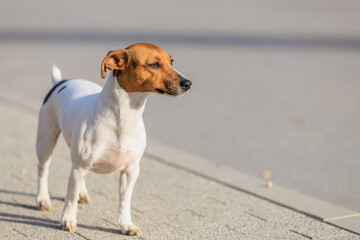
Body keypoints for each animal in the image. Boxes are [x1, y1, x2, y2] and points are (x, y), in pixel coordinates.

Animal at [35, 42, 193, 235]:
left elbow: (125, 201)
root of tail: (61, 82)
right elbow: (70, 198)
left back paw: (82, 193)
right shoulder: (79, 166)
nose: (188, 83)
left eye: (171, 61)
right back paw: (43, 199)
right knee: (43, 170)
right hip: (46, 141)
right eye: (154, 64)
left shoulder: (131, 170)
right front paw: (68, 220)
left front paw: (126, 225)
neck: (124, 119)